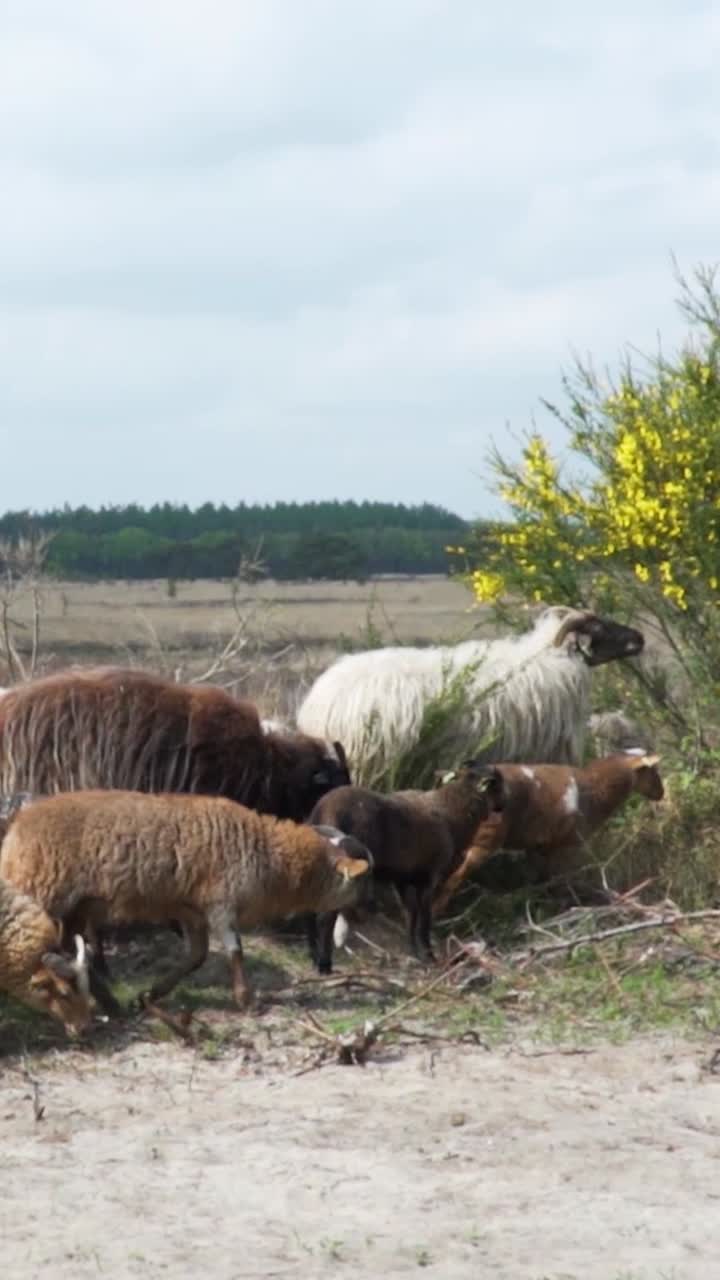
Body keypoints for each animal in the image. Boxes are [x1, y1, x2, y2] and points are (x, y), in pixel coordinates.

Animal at [0, 789, 373, 1012]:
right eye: (363, 879)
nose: (368, 912)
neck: (273, 856)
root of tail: (18, 825)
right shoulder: (221, 903)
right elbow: (235, 951)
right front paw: (246, 999)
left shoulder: (192, 911)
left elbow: (196, 956)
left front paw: (153, 993)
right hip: (39, 892)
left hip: (77, 907)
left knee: (74, 952)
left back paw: (109, 1004)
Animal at [305, 761, 505, 973]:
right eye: (497, 783)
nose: (504, 803)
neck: (452, 812)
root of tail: (324, 809)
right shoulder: (430, 876)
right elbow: (424, 918)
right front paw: (428, 955)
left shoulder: (404, 877)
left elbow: (411, 914)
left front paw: (414, 952)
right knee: (326, 916)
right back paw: (324, 965)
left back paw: (314, 957)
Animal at [432, 750, 664, 915]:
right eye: (652, 771)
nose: (661, 794)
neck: (595, 788)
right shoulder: (563, 847)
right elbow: (558, 881)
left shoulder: (538, 846)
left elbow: (541, 881)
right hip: (484, 843)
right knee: (453, 879)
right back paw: (437, 914)